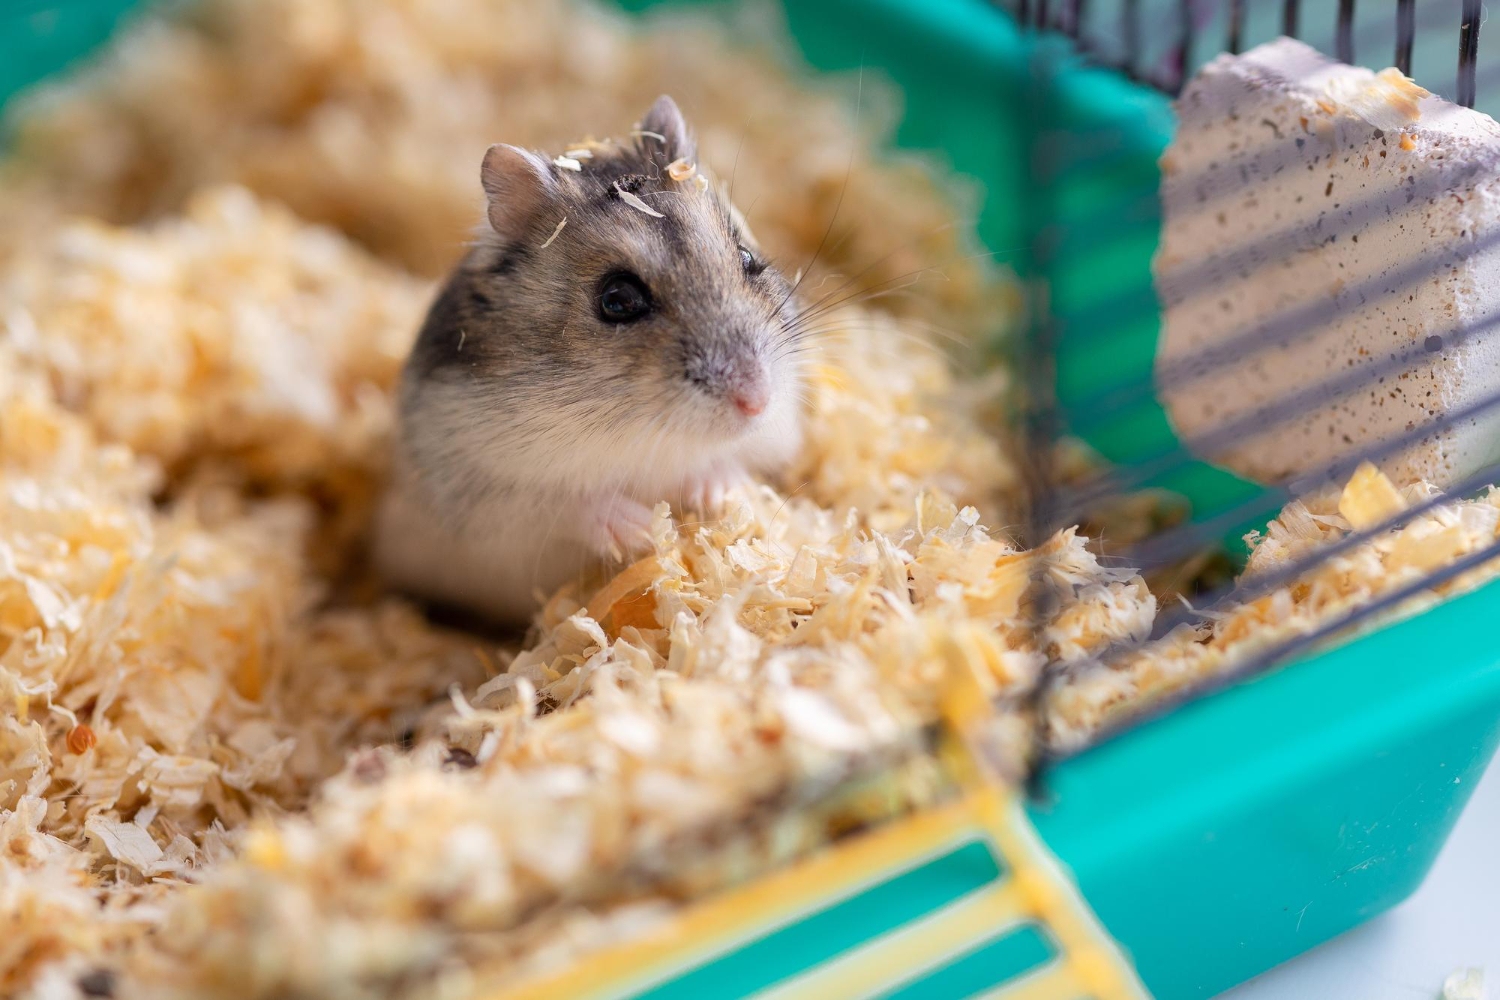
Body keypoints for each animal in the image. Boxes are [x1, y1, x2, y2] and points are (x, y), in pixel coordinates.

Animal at [375, 96, 806, 625]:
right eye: (617, 299)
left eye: (748, 258)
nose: (756, 401)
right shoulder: (483, 499)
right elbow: (565, 504)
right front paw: (639, 530)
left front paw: (718, 492)